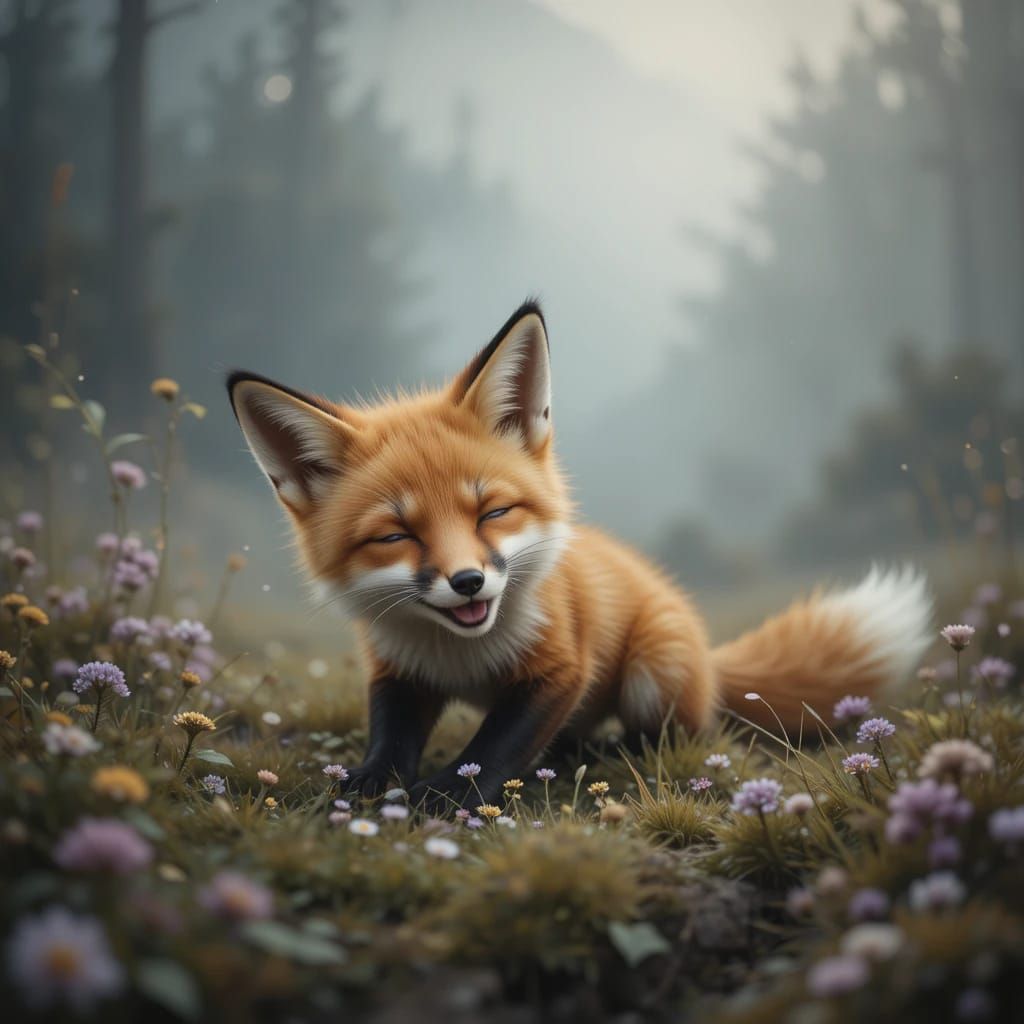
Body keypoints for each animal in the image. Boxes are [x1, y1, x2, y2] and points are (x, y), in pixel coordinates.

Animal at [226, 301, 932, 808]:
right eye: (396, 536)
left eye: (492, 513)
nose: (468, 581)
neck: (462, 656)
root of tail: (708, 656)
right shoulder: (398, 668)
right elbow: (391, 736)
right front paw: (371, 782)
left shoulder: (562, 666)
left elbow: (497, 745)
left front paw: (446, 794)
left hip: (654, 672)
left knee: (673, 736)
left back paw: (606, 756)